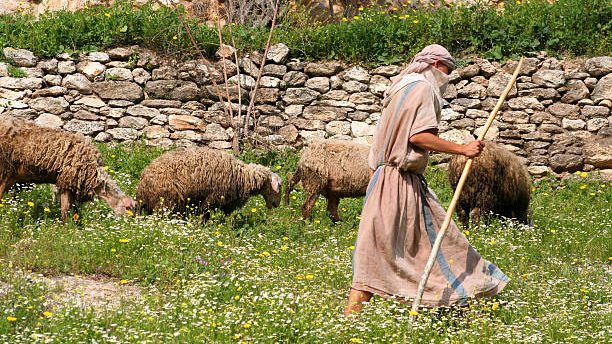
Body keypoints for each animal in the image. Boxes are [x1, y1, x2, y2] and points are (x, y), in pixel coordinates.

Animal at [0, 114, 135, 219]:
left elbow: (73, 210)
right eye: (129, 209)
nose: (132, 226)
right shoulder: (67, 180)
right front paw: (66, 229)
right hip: (4, 169)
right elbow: (65, 210)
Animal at [134, 146, 282, 216]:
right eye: (278, 187)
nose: (276, 205)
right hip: (166, 201)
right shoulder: (212, 199)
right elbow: (205, 214)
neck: (243, 176)